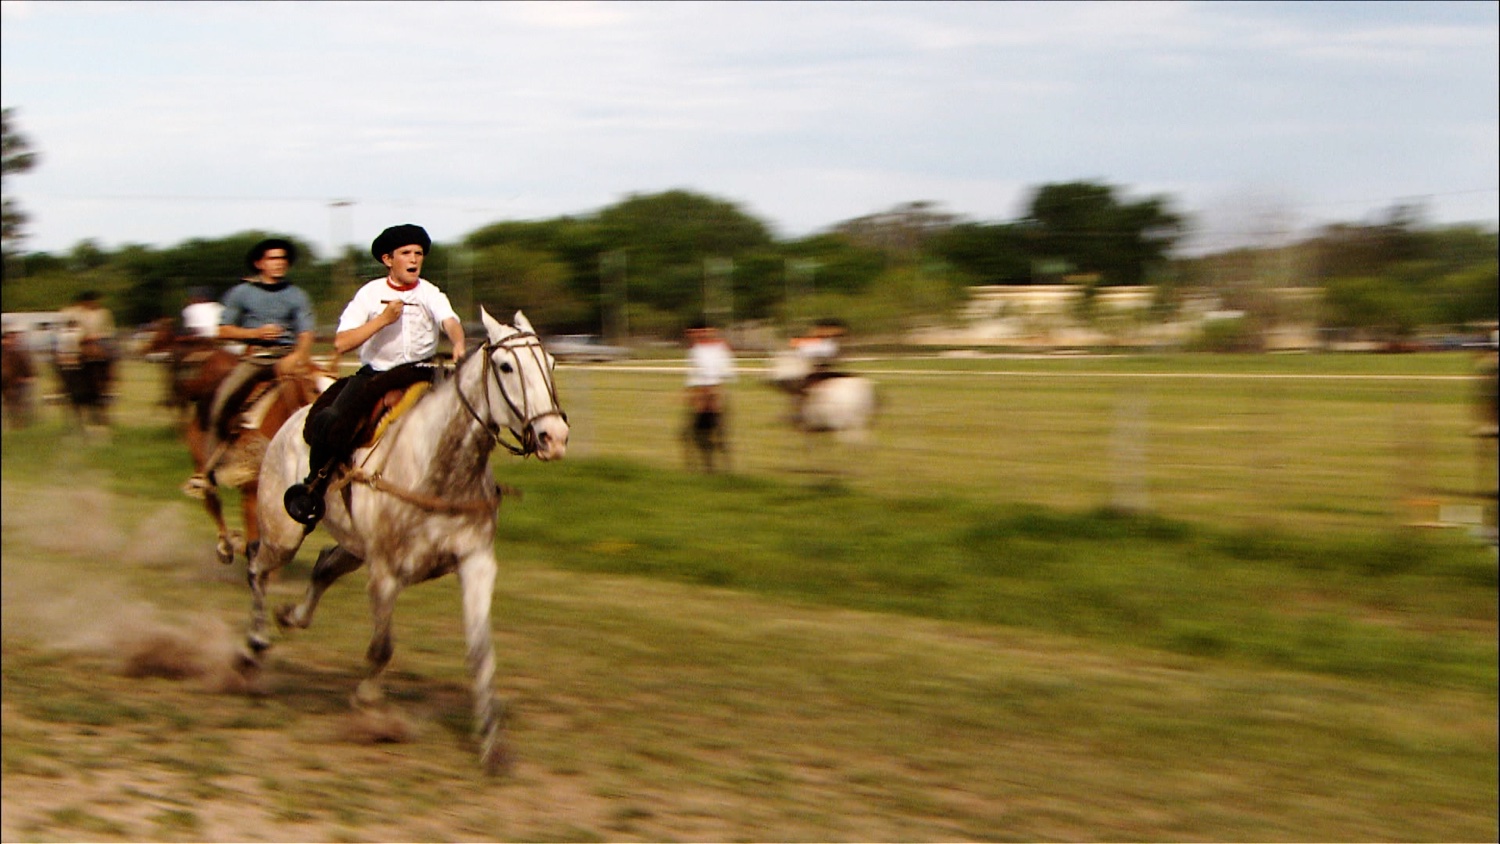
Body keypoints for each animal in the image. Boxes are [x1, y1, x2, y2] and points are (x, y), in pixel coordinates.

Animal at [240, 308, 567, 773]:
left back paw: (291, 617)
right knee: (257, 567)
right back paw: (253, 648)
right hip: (284, 533)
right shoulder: (385, 573)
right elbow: (381, 648)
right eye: (506, 366)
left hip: (353, 547)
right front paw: (367, 706)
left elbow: (480, 654)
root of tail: (290, 421)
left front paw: (491, 742)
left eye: (551, 363)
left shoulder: (476, 563)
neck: (440, 468)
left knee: (323, 565)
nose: (554, 437)